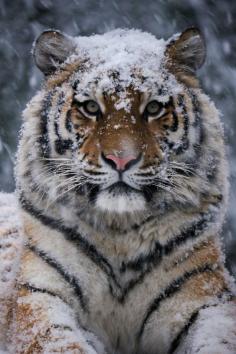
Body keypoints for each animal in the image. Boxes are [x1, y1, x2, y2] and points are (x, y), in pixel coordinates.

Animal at [0, 26, 236, 352]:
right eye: (90, 107)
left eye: (153, 108)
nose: (121, 159)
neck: (120, 232)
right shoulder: (40, 296)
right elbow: (60, 342)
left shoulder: (204, 297)